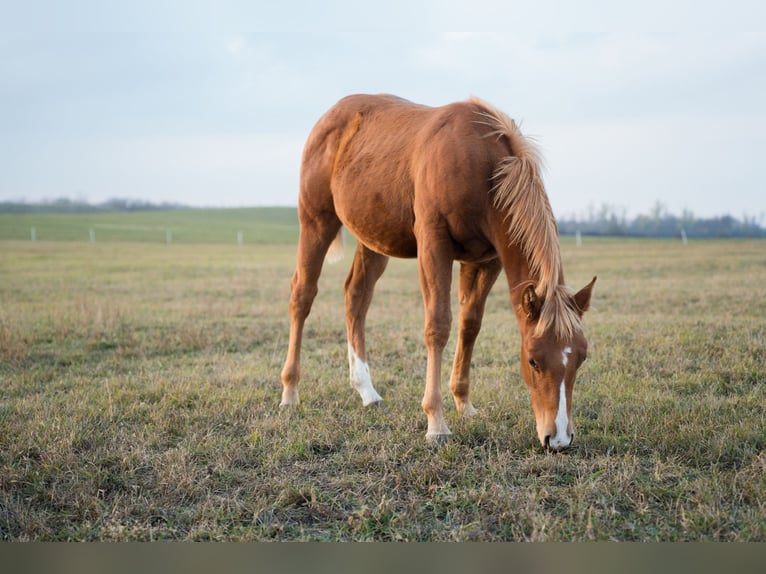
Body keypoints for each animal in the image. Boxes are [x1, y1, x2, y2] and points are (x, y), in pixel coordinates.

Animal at [280, 94, 596, 450]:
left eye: (581, 357)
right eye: (533, 360)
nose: (558, 438)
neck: (480, 163)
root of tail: (330, 116)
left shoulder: (487, 260)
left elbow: (470, 324)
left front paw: (464, 402)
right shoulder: (434, 244)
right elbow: (439, 325)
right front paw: (436, 423)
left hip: (373, 240)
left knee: (356, 297)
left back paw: (367, 391)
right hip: (316, 222)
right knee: (303, 295)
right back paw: (290, 391)